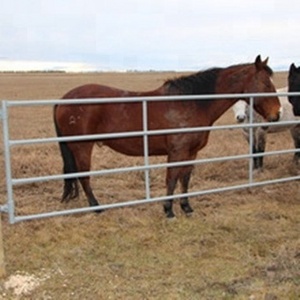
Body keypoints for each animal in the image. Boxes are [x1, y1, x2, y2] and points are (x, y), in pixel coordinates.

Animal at [54, 55, 282, 217]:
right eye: (266, 84)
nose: (277, 114)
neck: (191, 103)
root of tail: (63, 99)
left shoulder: (191, 153)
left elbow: (185, 178)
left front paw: (186, 207)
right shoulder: (177, 152)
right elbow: (172, 178)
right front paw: (169, 210)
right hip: (82, 147)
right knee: (84, 176)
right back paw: (96, 207)